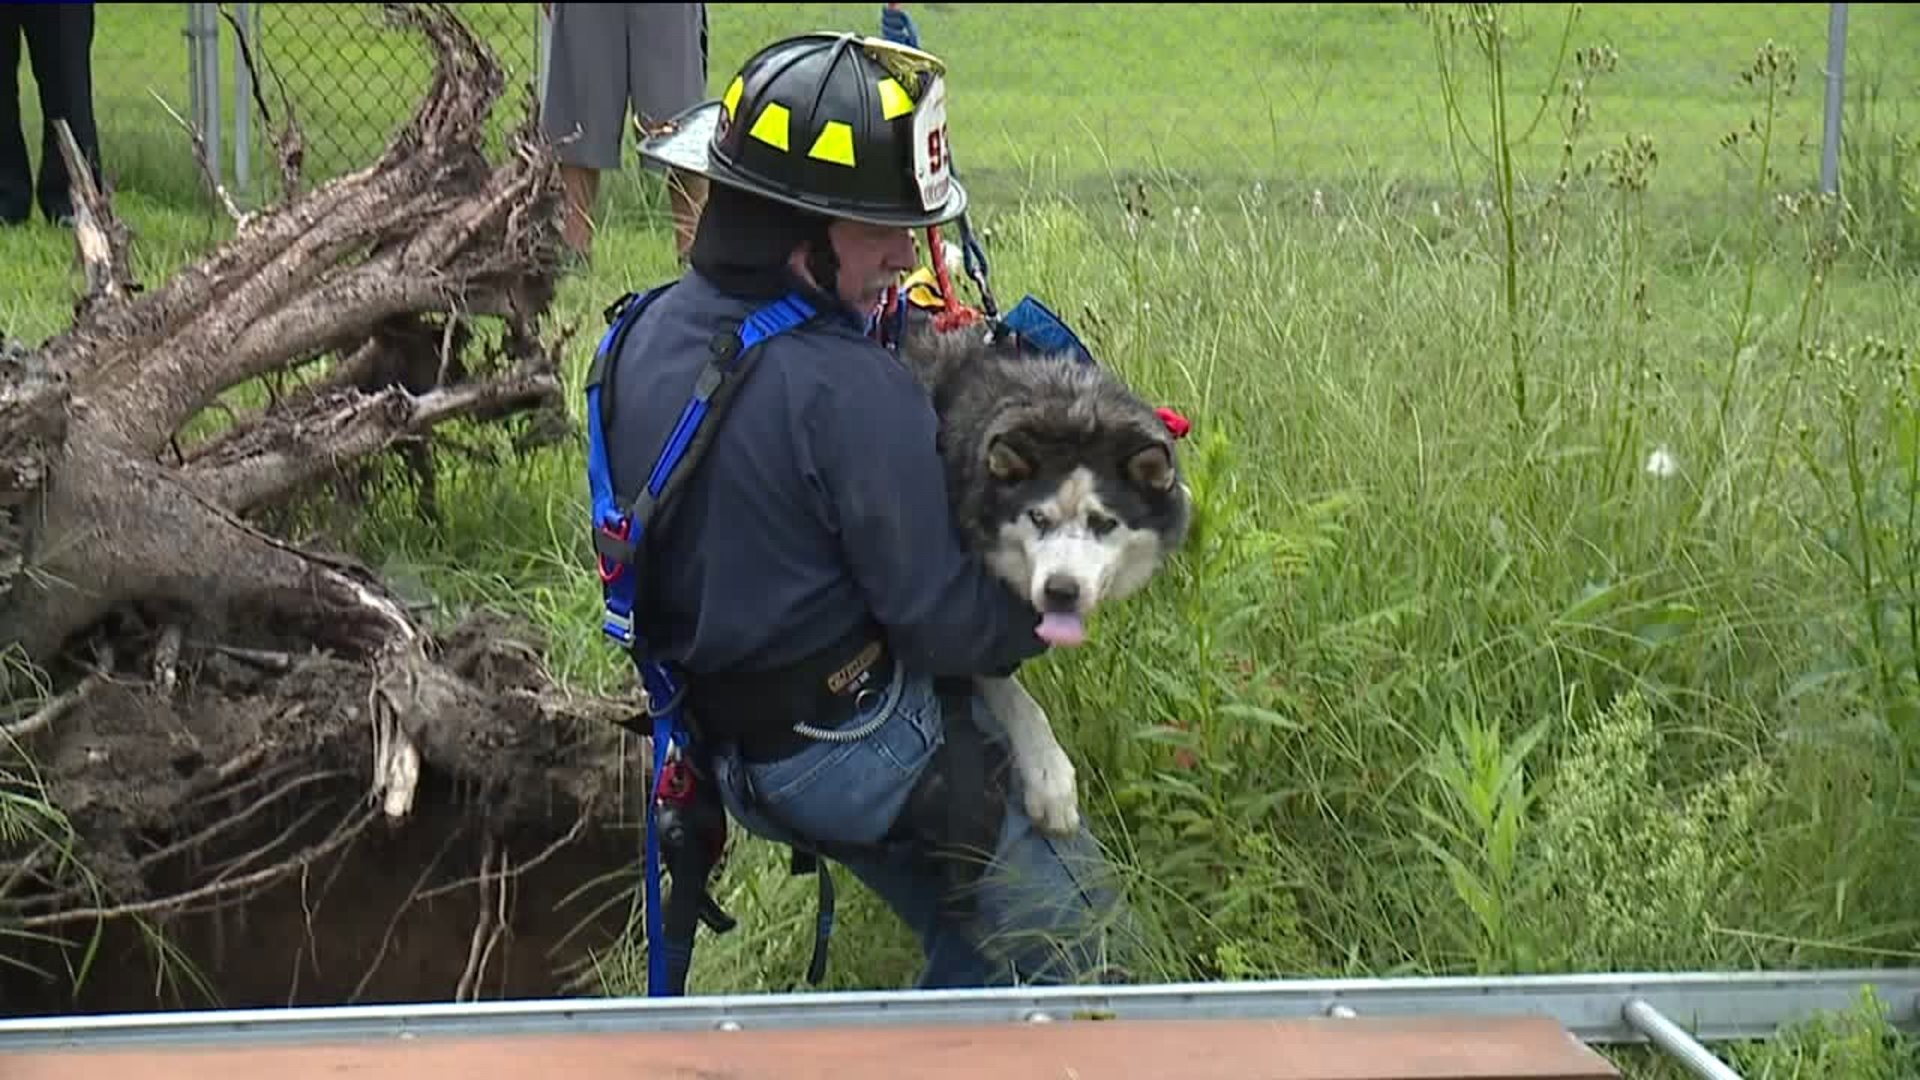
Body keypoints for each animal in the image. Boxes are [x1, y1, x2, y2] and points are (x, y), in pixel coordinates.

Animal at [894, 311, 1190, 834]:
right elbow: (1008, 690)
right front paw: (1048, 774)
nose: (1060, 591)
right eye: (1037, 517)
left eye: (1103, 523)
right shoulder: (951, 616)